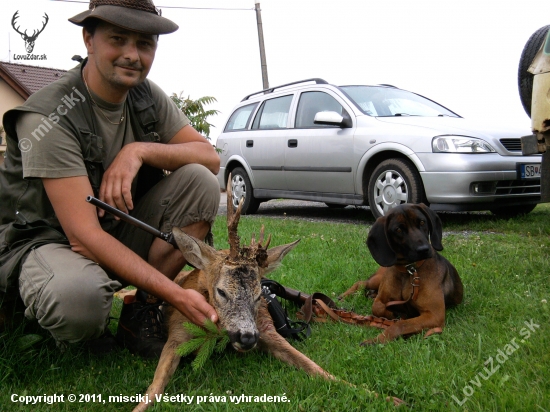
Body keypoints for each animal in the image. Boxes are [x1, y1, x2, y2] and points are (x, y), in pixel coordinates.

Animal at [340, 204, 466, 344]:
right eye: (399, 229)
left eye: (422, 222)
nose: (424, 249)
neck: (409, 271)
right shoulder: (382, 300)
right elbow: (377, 308)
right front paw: (392, 315)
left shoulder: (434, 315)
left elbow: (400, 324)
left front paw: (378, 339)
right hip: (378, 279)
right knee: (361, 283)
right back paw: (344, 296)